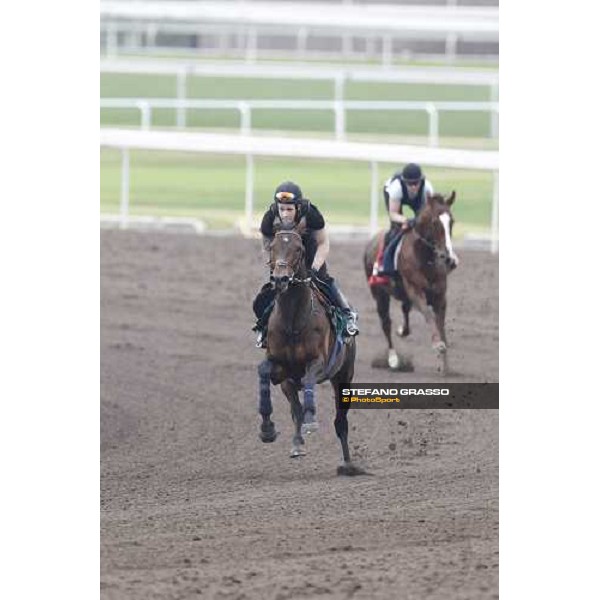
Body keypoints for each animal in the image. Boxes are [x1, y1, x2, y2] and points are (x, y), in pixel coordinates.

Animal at [254, 220, 360, 474]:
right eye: (272, 247)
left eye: (299, 248)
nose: (280, 279)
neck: (293, 320)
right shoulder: (280, 368)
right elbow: (264, 372)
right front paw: (267, 429)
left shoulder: (319, 363)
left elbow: (311, 377)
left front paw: (312, 419)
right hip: (289, 383)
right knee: (295, 410)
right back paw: (297, 444)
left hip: (344, 376)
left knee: (340, 422)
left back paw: (348, 464)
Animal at [364, 192, 458, 372]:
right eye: (435, 222)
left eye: (452, 221)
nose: (448, 259)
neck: (425, 258)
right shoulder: (415, 291)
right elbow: (428, 315)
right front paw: (438, 345)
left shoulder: (440, 297)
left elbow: (440, 324)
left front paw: (445, 365)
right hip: (379, 294)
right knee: (386, 324)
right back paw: (393, 359)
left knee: (404, 310)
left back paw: (402, 331)